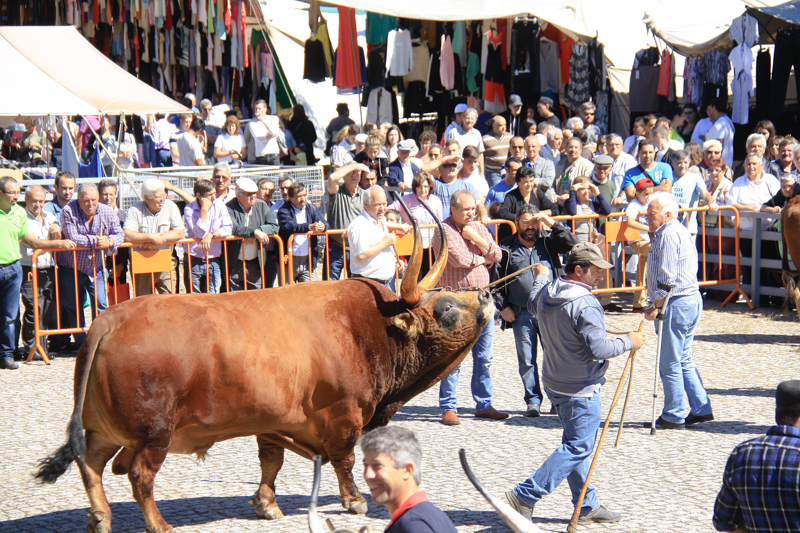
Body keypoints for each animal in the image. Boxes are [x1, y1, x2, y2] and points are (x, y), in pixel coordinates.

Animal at [37, 210, 494, 532]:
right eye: (447, 307)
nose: (488, 295)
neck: (367, 328)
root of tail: (109, 319)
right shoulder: (344, 415)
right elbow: (345, 460)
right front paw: (354, 500)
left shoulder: (272, 421)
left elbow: (270, 462)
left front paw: (267, 504)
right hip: (153, 433)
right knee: (139, 475)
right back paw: (159, 524)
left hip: (103, 430)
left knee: (90, 464)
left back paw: (101, 517)